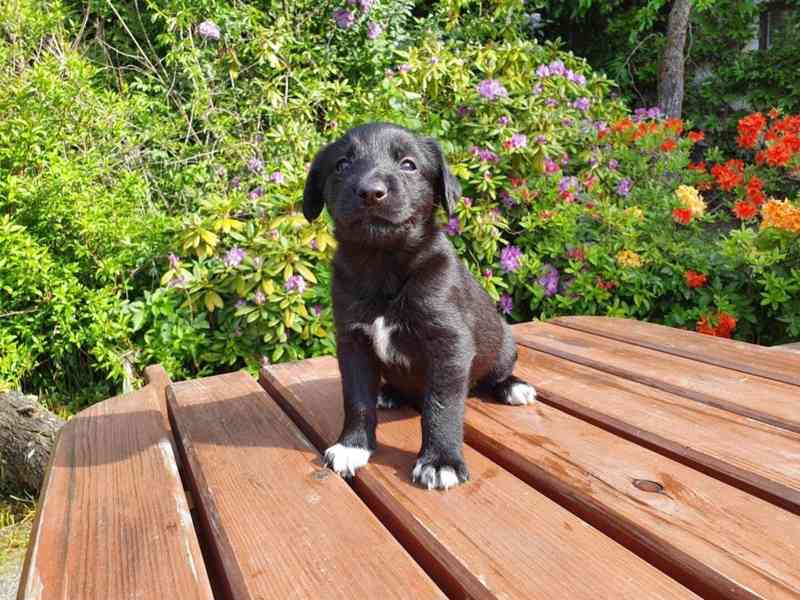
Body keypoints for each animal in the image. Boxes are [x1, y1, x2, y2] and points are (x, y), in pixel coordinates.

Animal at [304, 124, 536, 490]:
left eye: (409, 165)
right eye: (342, 165)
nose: (371, 192)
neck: (382, 264)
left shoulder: (449, 344)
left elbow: (441, 406)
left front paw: (441, 461)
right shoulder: (353, 342)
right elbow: (356, 398)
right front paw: (353, 446)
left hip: (503, 348)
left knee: (497, 374)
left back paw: (513, 387)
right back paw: (388, 393)